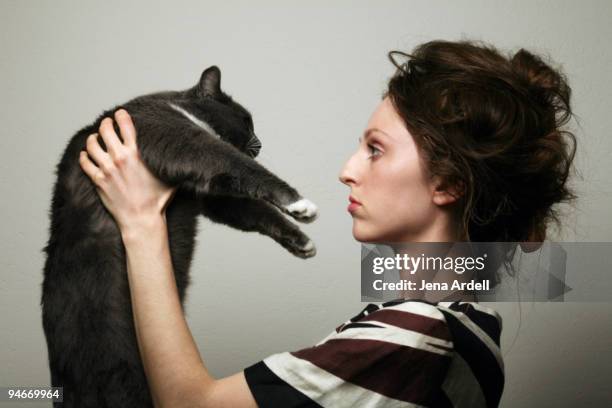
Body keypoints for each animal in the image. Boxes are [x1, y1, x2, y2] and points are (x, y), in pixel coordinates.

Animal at [42, 65, 318, 406]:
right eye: (245, 120)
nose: (261, 143)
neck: (180, 107)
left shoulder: (208, 193)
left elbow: (254, 210)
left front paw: (300, 241)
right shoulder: (173, 135)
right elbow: (238, 164)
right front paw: (299, 203)